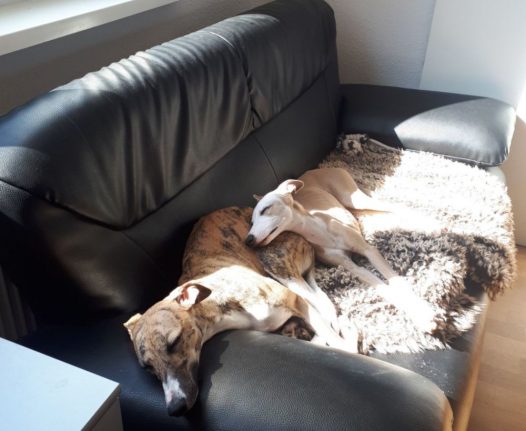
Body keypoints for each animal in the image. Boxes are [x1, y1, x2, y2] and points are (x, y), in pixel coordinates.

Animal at [124, 207, 356, 417]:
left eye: (174, 342)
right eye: (147, 367)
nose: (175, 409)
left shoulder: (294, 300)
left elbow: (339, 343)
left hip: (275, 262)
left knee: (322, 305)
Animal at [246, 167, 441, 333]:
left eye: (265, 209)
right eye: (251, 222)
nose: (248, 240)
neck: (320, 231)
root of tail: (324, 168)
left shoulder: (369, 250)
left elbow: (395, 279)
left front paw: (425, 313)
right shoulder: (351, 266)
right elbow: (384, 287)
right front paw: (422, 316)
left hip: (352, 197)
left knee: (395, 207)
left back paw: (433, 225)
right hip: (354, 207)